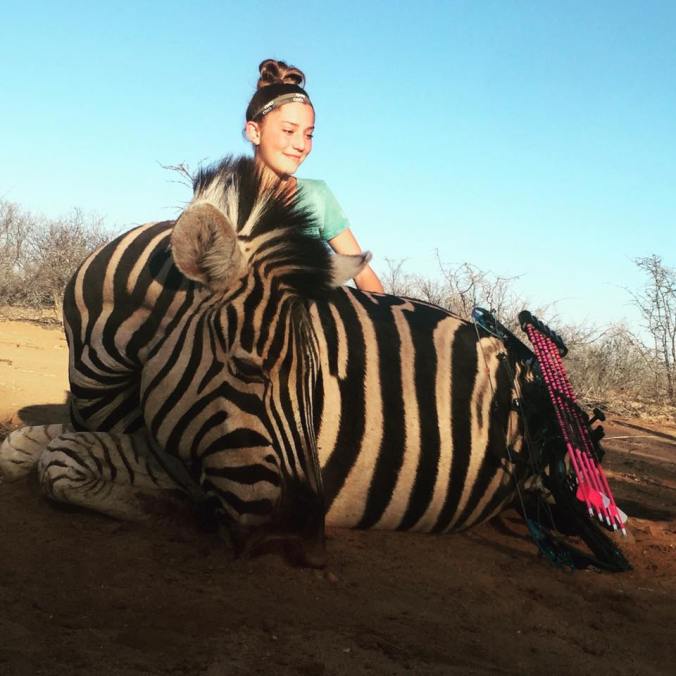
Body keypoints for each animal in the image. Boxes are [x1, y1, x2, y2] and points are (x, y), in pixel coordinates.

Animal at [1, 155, 555, 567]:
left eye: (317, 382)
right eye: (248, 369)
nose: (307, 545)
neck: (100, 373)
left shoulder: (177, 458)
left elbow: (60, 461)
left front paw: (171, 509)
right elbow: (21, 446)